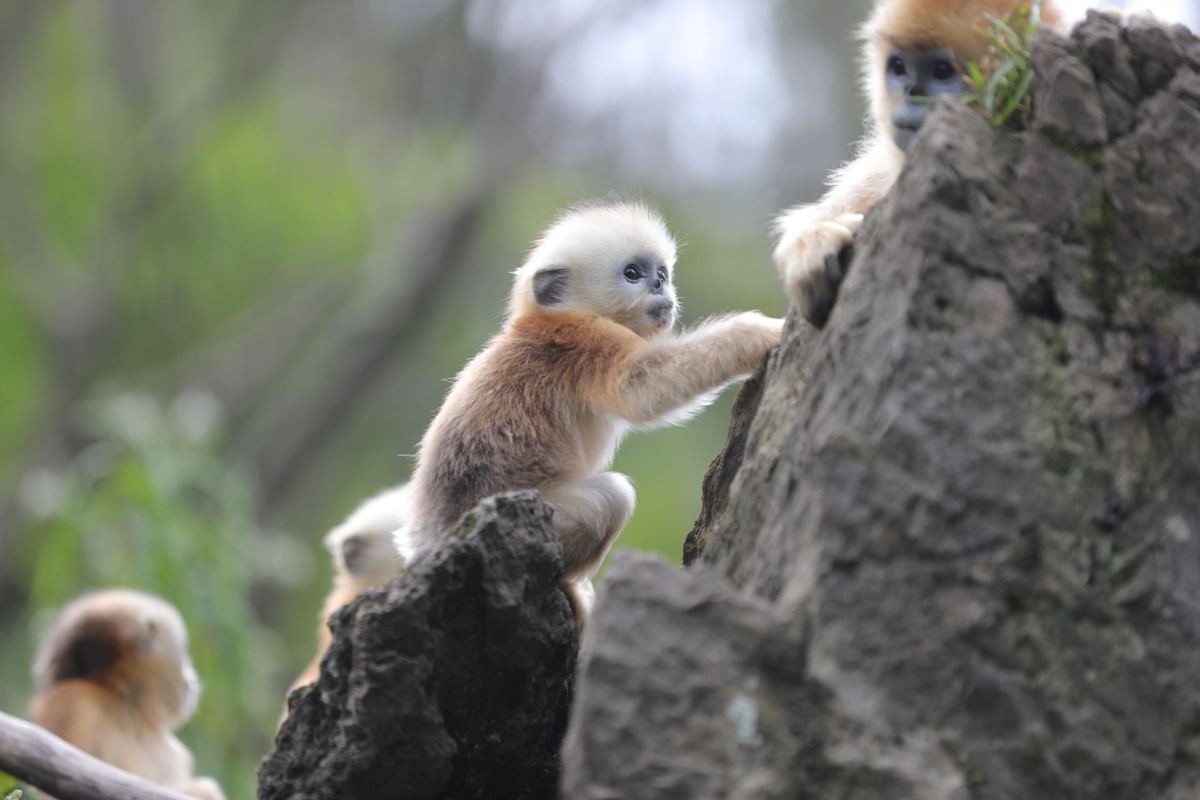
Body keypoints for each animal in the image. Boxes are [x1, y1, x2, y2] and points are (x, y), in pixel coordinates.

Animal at [398, 200, 782, 623]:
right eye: (632, 274)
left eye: (661, 273)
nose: (660, 285)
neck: (551, 318)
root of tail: (430, 540)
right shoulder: (585, 340)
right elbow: (642, 386)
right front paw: (764, 332)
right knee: (614, 496)